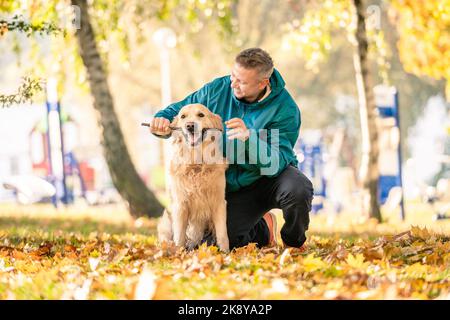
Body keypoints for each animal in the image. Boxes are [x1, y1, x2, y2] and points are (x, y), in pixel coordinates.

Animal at [157, 104, 229, 251]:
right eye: (183, 116)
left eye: (201, 115)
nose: (190, 125)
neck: (196, 164)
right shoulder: (180, 204)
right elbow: (179, 236)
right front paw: (179, 253)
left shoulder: (219, 202)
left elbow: (223, 234)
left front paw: (227, 253)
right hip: (166, 221)